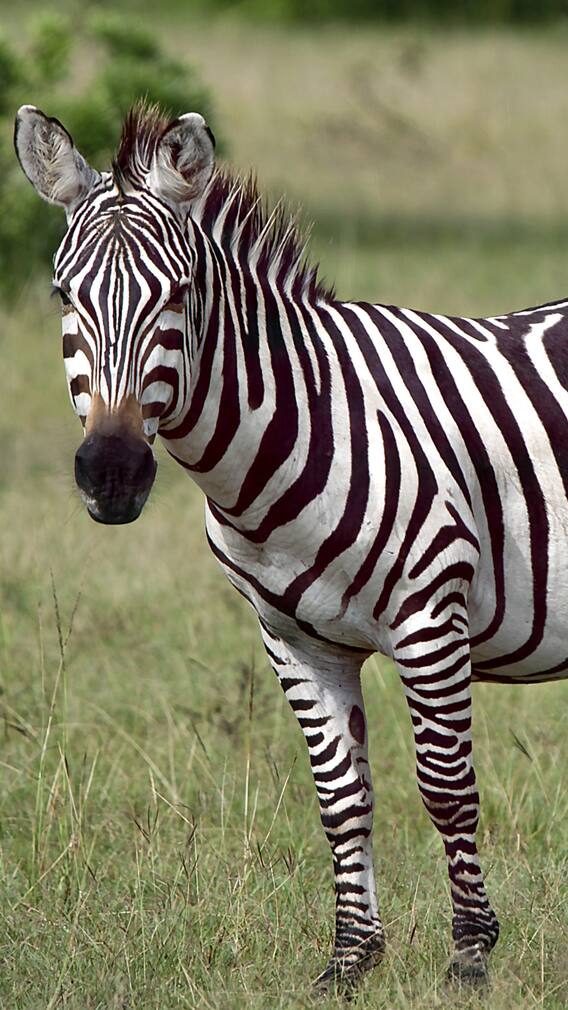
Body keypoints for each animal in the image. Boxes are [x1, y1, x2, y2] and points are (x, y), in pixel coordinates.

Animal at [14, 100, 567, 990]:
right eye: (65, 294)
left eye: (181, 293)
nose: (112, 472)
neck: (302, 423)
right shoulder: (295, 641)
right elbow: (342, 798)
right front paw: (349, 960)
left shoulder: (430, 617)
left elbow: (447, 787)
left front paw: (470, 957)